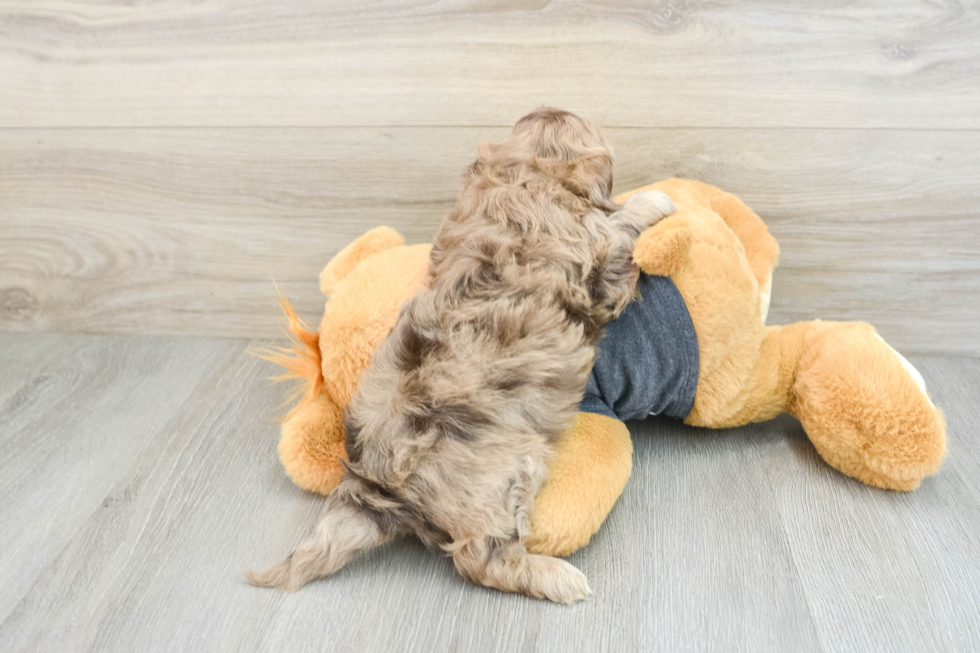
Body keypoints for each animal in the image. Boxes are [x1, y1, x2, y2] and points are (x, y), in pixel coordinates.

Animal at [247, 107, 672, 600]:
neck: (518, 183)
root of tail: (373, 485)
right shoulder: (598, 260)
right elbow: (620, 228)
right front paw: (653, 201)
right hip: (503, 475)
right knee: (481, 559)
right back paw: (558, 578)